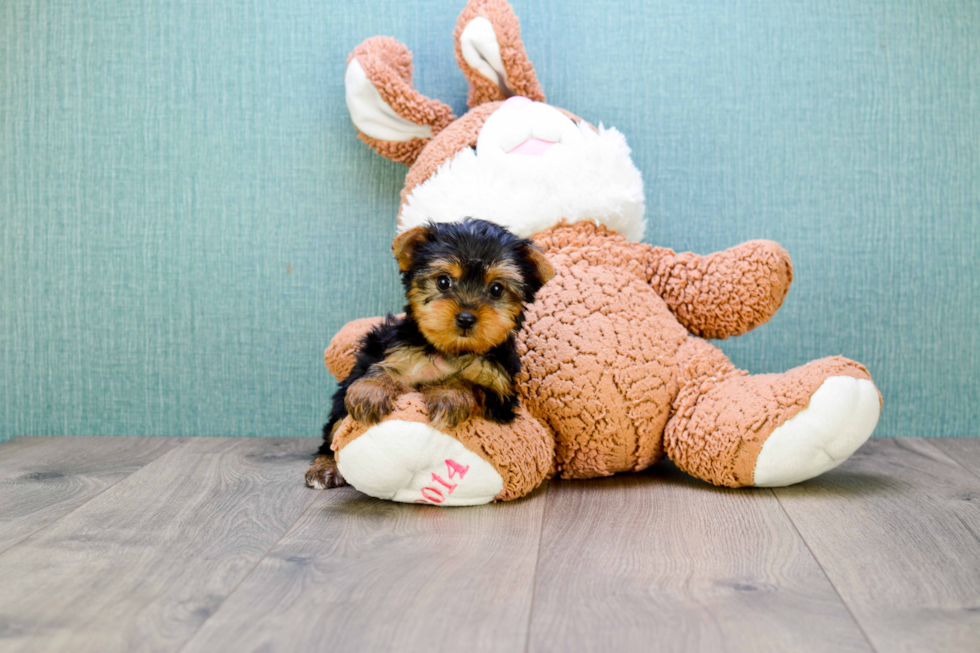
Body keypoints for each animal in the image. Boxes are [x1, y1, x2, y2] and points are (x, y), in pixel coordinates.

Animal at [306, 219, 552, 488]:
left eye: (497, 289)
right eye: (443, 282)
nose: (466, 318)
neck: (452, 350)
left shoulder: (499, 392)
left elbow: (470, 383)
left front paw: (449, 394)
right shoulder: (402, 355)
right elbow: (383, 371)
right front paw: (370, 391)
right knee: (334, 429)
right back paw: (325, 466)